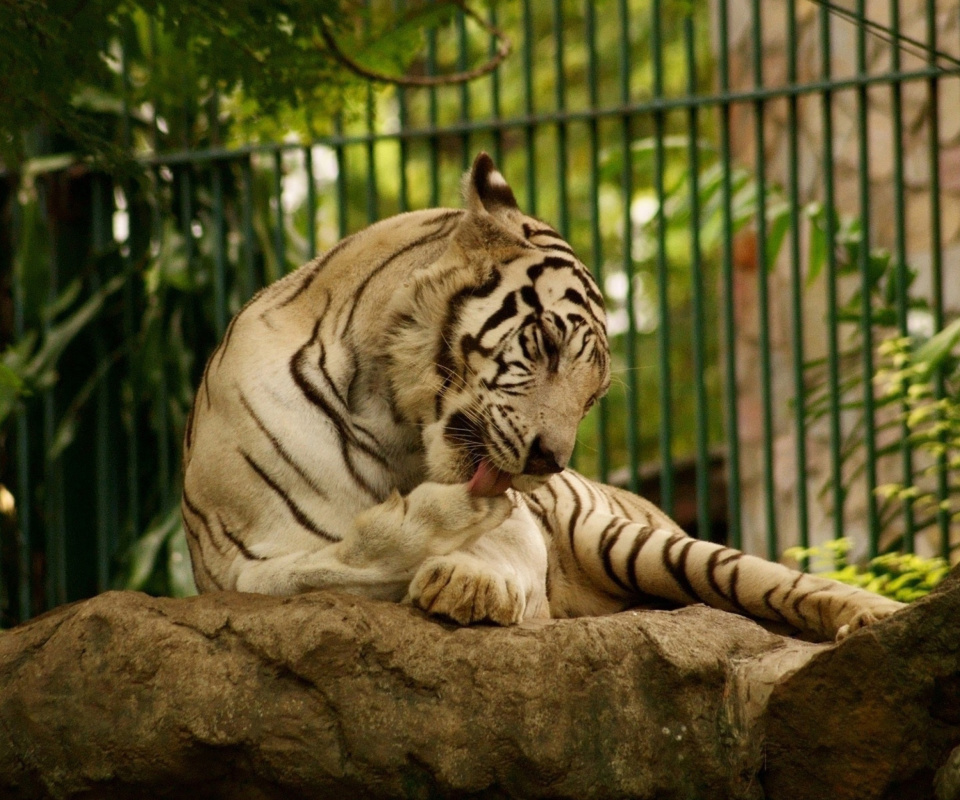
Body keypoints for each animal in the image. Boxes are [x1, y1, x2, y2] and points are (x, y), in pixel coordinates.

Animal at [178, 150, 900, 640]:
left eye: (594, 396)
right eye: (549, 343)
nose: (549, 463)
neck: (389, 419)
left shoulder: (524, 526)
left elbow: (498, 547)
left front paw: (467, 581)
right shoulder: (239, 563)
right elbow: (324, 564)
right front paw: (432, 528)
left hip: (641, 543)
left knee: (778, 580)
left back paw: (874, 619)